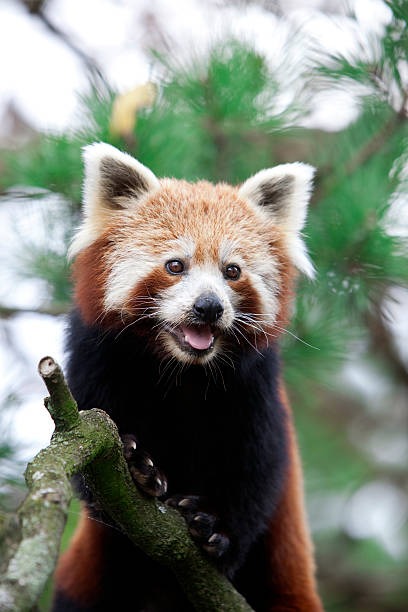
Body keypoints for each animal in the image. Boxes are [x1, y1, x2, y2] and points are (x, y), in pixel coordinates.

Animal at [51, 143, 326, 612]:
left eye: (232, 270)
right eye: (175, 265)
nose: (209, 307)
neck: (182, 373)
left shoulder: (255, 392)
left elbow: (257, 470)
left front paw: (217, 533)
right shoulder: (93, 363)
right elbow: (94, 465)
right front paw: (138, 466)